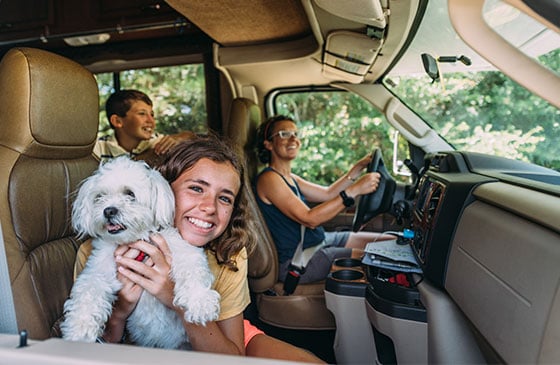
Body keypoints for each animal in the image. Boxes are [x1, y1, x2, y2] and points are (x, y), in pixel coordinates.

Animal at [60, 156, 219, 346]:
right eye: (100, 196)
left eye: (130, 194)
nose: (109, 210)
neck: (134, 241)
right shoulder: (98, 270)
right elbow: (88, 290)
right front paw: (79, 328)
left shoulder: (182, 249)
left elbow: (192, 270)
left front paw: (200, 301)